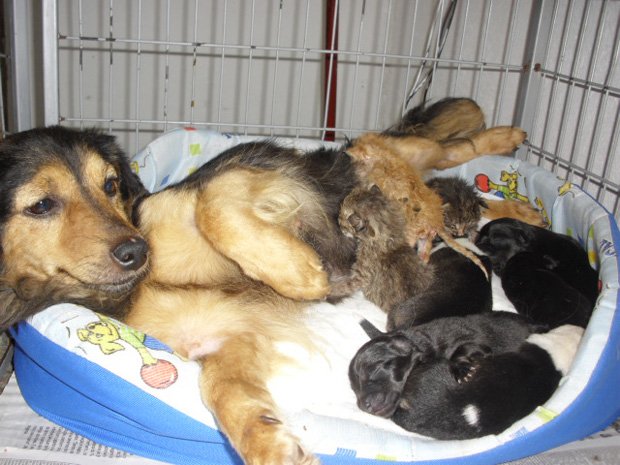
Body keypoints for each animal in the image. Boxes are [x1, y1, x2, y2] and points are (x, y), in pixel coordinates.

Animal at [0, 110, 529, 465]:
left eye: (111, 185)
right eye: (41, 205)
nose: (136, 251)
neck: (142, 283)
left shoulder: (235, 180)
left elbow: (213, 208)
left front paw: (300, 274)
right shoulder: (223, 340)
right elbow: (225, 396)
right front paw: (272, 445)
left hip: (395, 152)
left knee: (451, 148)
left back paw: (507, 141)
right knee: (461, 180)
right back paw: (519, 207)